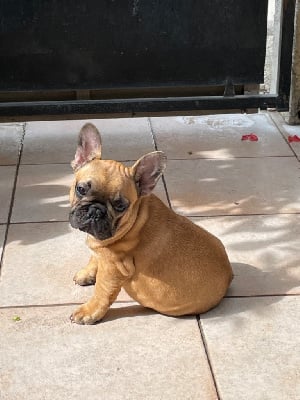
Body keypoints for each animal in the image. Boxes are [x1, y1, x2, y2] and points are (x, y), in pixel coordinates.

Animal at [69, 122, 233, 324]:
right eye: (81, 189)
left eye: (120, 205)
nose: (95, 211)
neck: (132, 221)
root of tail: (229, 277)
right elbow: (94, 258)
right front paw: (87, 273)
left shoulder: (113, 269)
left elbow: (102, 291)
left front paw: (89, 311)